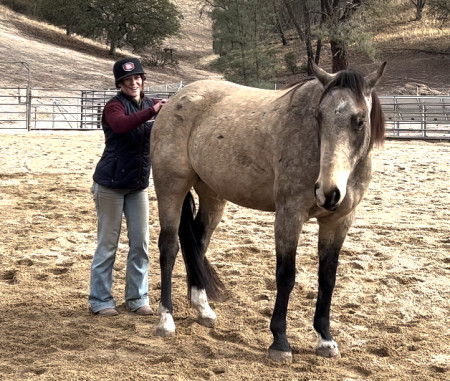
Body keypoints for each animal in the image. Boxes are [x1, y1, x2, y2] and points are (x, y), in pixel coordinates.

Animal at [150, 60, 386, 360]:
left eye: (360, 120)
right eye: (318, 117)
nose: (327, 192)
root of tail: (173, 101)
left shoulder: (339, 221)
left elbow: (327, 278)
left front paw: (325, 339)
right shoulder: (289, 215)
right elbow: (285, 276)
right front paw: (280, 341)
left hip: (213, 197)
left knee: (198, 247)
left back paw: (203, 308)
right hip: (171, 190)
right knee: (169, 248)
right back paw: (166, 319)